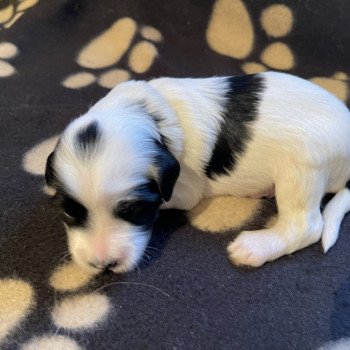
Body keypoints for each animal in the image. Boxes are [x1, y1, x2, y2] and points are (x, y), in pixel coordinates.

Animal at [45, 72, 350, 274]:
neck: (146, 114)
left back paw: (254, 247)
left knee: (306, 225)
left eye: (135, 210)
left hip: (301, 167)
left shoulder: (184, 191)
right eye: (69, 211)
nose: (104, 265)